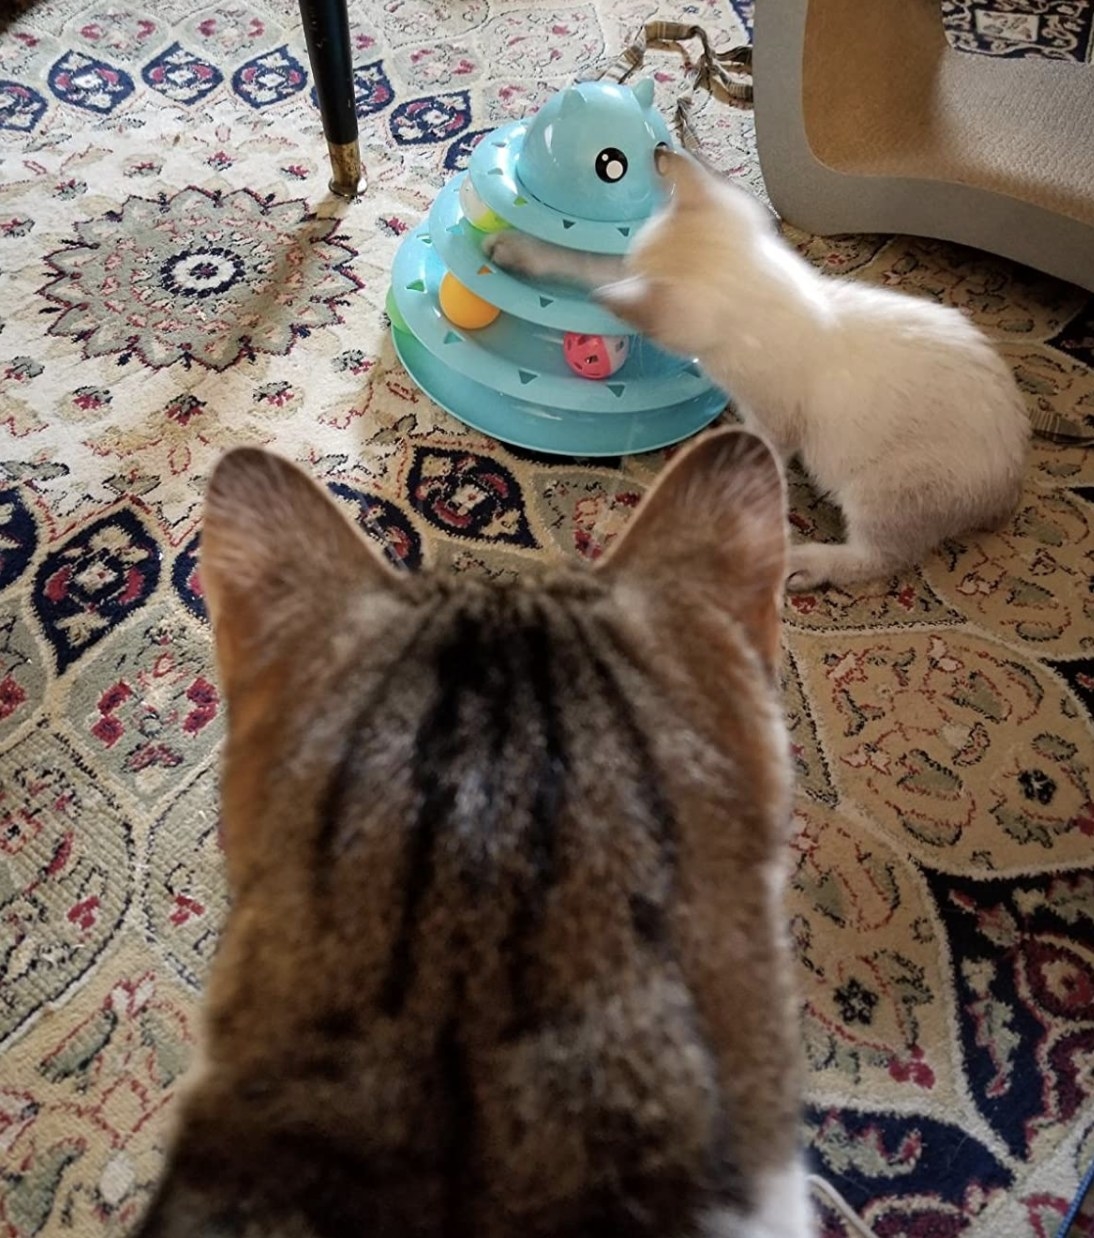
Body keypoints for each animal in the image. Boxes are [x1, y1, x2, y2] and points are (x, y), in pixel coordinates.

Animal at [482, 147, 1029, 586]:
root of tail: (1011, 481)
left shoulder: (774, 420)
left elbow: (761, 455)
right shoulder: (631, 269)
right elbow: (593, 268)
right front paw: (515, 251)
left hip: (882, 489)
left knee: (878, 559)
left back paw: (806, 564)